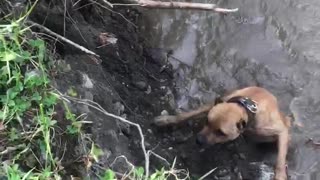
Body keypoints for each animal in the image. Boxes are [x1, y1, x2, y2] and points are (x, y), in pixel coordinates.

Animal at [154, 86, 292, 179]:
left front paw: (280, 175)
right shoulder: (211, 106)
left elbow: (280, 160)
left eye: (221, 133)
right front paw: (168, 120)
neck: (244, 108)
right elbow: (188, 114)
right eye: (207, 121)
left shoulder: (282, 131)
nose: (199, 140)